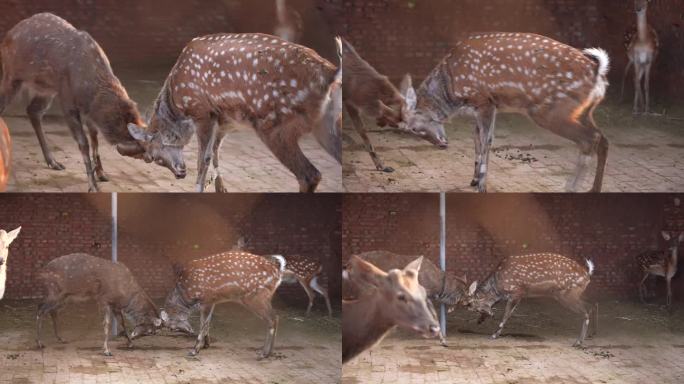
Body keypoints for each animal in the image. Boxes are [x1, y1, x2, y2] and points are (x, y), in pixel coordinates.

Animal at [0, 13, 144, 190]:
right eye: (125, 130)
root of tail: (6, 37)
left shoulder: (88, 110)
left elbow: (94, 137)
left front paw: (102, 174)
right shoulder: (68, 100)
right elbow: (83, 142)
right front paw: (92, 185)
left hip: (47, 89)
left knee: (33, 110)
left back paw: (53, 162)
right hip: (12, 76)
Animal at [126, 33, 342, 192]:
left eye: (151, 157)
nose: (179, 174)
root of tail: (331, 73)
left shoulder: (202, 111)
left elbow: (202, 159)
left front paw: (198, 189)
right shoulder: (225, 122)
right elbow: (214, 155)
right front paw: (221, 190)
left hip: (274, 123)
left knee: (309, 175)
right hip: (326, 124)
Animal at [400, 33, 608, 194]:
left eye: (414, 128)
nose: (441, 145)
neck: (452, 90)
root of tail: (598, 71)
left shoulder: (484, 101)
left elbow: (486, 141)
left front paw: (482, 185)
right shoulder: (483, 108)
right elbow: (477, 139)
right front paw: (474, 180)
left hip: (550, 111)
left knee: (589, 139)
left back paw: (571, 187)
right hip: (583, 111)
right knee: (602, 138)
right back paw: (594, 188)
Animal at [462, 254, 596, 346]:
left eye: (473, 307)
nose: (479, 321)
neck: (497, 288)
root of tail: (587, 274)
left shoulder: (517, 292)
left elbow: (506, 315)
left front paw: (494, 335)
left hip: (567, 294)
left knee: (586, 311)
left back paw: (578, 342)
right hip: (573, 294)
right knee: (590, 306)